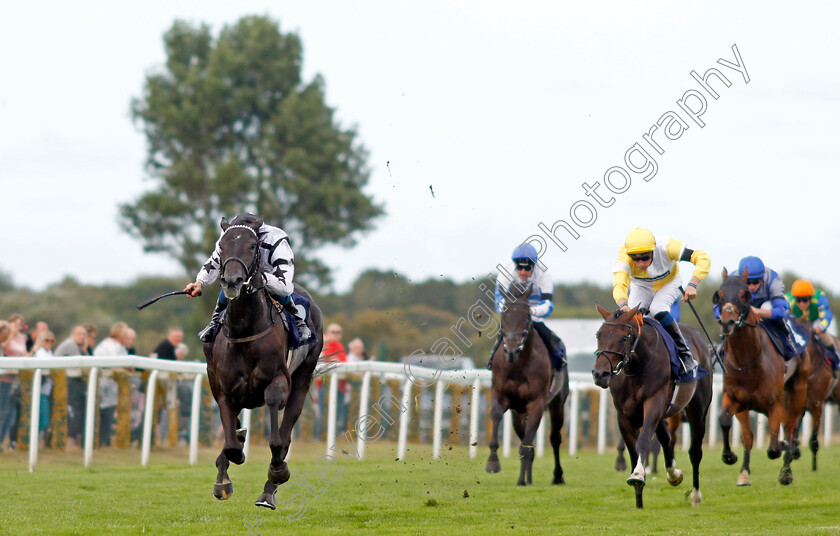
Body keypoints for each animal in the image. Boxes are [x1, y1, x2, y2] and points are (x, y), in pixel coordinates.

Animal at [486, 280, 572, 486]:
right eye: (504, 317)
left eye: (526, 317)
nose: (511, 350)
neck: (519, 365)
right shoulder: (501, 395)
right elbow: (496, 416)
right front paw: (493, 462)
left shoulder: (536, 403)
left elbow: (526, 445)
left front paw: (520, 481)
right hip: (518, 413)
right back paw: (528, 478)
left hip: (557, 404)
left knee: (554, 438)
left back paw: (557, 476)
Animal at [592, 304, 708, 508]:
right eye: (599, 335)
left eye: (624, 338)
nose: (600, 374)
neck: (636, 368)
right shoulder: (624, 415)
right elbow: (633, 450)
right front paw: (638, 500)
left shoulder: (653, 403)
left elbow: (644, 440)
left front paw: (638, 474)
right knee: (666, 438)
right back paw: (673, 474)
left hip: (697, 409)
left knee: (695, 452)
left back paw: (695, 495)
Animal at [716, 268, 808, 486]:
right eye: (719, 295)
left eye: (744, 295)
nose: (727, 323)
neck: (747, 361)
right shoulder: (735, 399)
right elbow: (731, 425)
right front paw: (735, 462)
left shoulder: (774, 403)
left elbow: (774, 448)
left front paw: (783, 448)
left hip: (798, 391)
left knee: (791, 428)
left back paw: (786, 471)